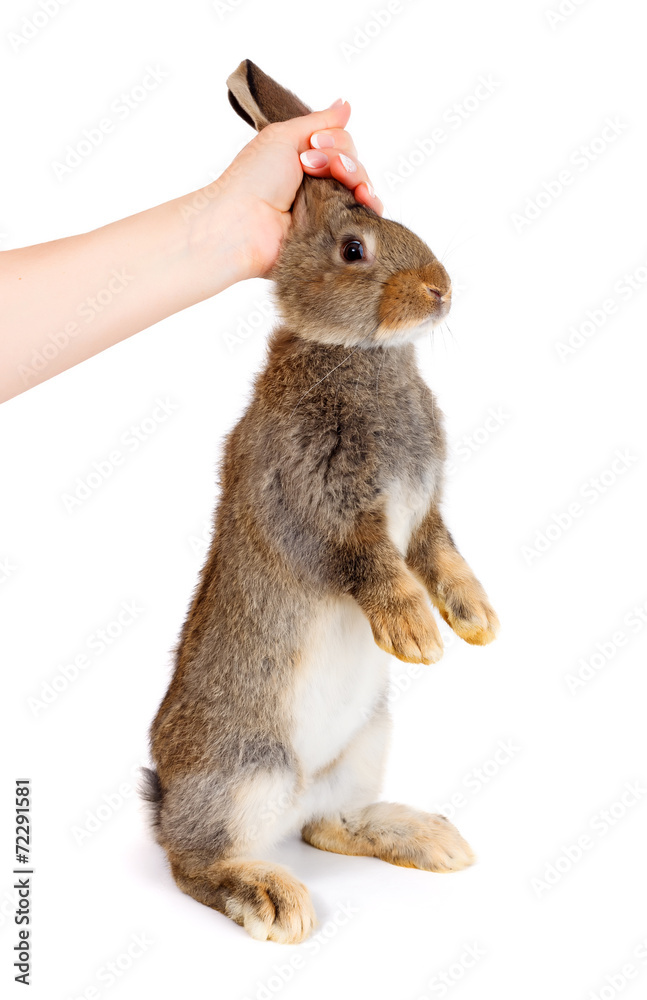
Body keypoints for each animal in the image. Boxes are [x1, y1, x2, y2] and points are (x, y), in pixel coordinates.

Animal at [142, 59, 499, 944]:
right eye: (353, 249)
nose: (440, 291)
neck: (358, 355)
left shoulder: (425, 512)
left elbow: (440, 554)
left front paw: (475, 621)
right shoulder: (317, 503)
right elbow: (370, 565)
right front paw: (416, 636)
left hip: (363, 744)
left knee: (324, 825)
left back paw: (428, 840)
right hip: (243, 771)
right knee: (194, 862)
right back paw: (271, 899)